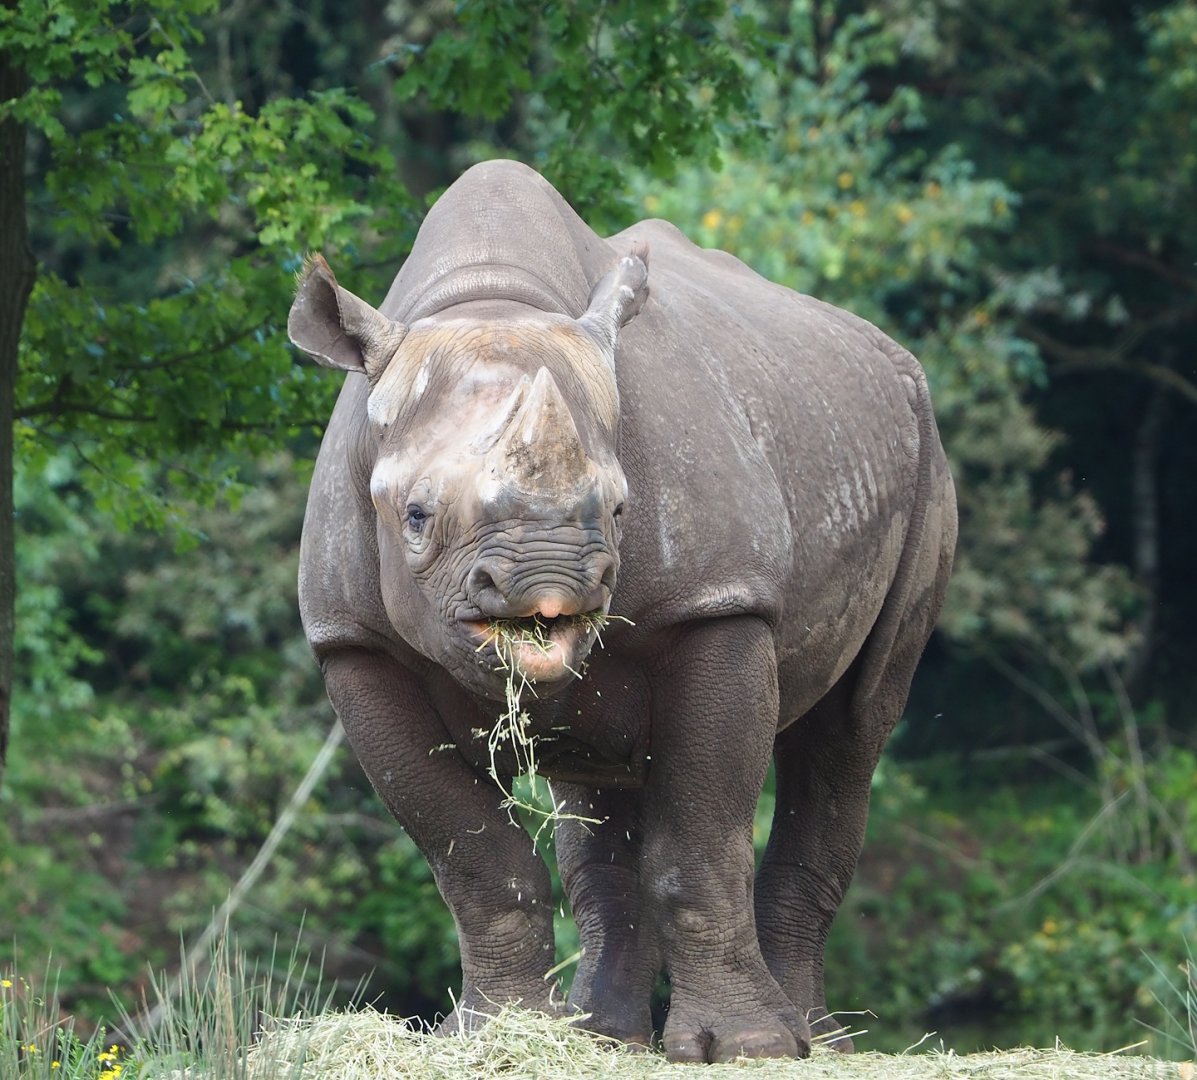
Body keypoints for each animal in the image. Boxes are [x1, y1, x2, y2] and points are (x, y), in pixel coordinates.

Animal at [287, 159, 956, 1062]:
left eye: (617, 510)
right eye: (417, 517)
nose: (548, 586)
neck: (489, 302)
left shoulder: (718, 604)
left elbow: (700, 843)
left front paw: (747, 1048)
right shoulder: (353, 644)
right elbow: (470, 854)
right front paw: (495, 1036)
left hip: (922, 454)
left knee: (851, 729)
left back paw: (814, 1041)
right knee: (598, 779)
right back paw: (605, 1038)